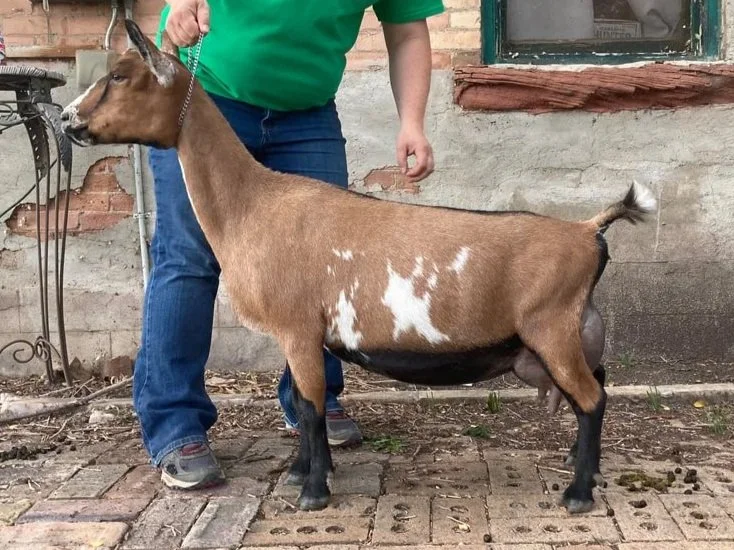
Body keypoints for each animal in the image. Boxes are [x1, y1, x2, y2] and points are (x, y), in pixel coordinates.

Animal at [61, 20, 657, 514]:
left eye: (120, 75)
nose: (68, 119)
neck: (253, 205)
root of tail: (587, 232)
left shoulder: (297, 327)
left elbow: (311, 405)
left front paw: (312, 491)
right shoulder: (300, 334)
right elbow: (305, 404)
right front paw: (302, 471)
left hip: (551, 327)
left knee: (591, 398)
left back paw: (577, 495)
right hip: (566, 335)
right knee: (597, 385)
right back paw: (585, 470)